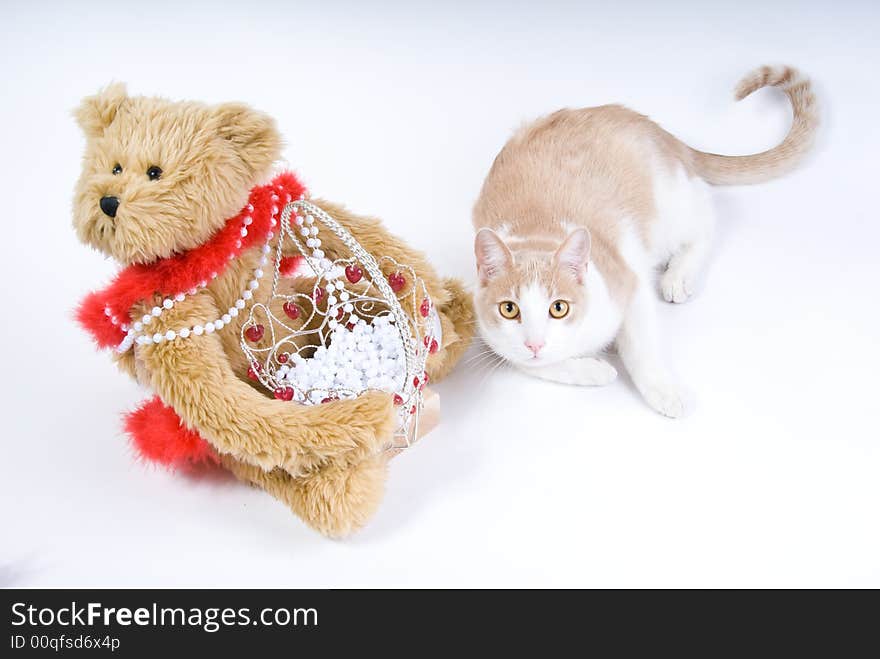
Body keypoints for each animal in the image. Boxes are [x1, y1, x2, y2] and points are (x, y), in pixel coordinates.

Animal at [474, 67, 820, 418]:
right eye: (509, 309)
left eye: (558, 308)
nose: (534, 343)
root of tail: (654, 129)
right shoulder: (493, 338)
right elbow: (528, 363)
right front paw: (591, 369)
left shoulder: (629, 281)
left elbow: (642, 348)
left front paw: (664, 390)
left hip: (670, 206)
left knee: (706, 220)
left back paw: (678, 275)